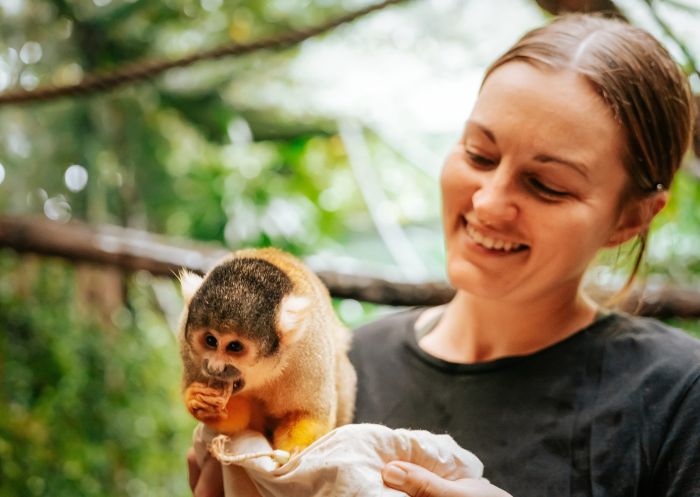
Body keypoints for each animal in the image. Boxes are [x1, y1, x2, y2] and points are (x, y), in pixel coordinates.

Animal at [178, 247, 357, 455]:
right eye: (210, 340)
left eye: (234, 347)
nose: (215, 368)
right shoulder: (188, 349)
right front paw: (202, 404)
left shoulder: (310, 351)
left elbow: (310, 414)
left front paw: (294, 453)